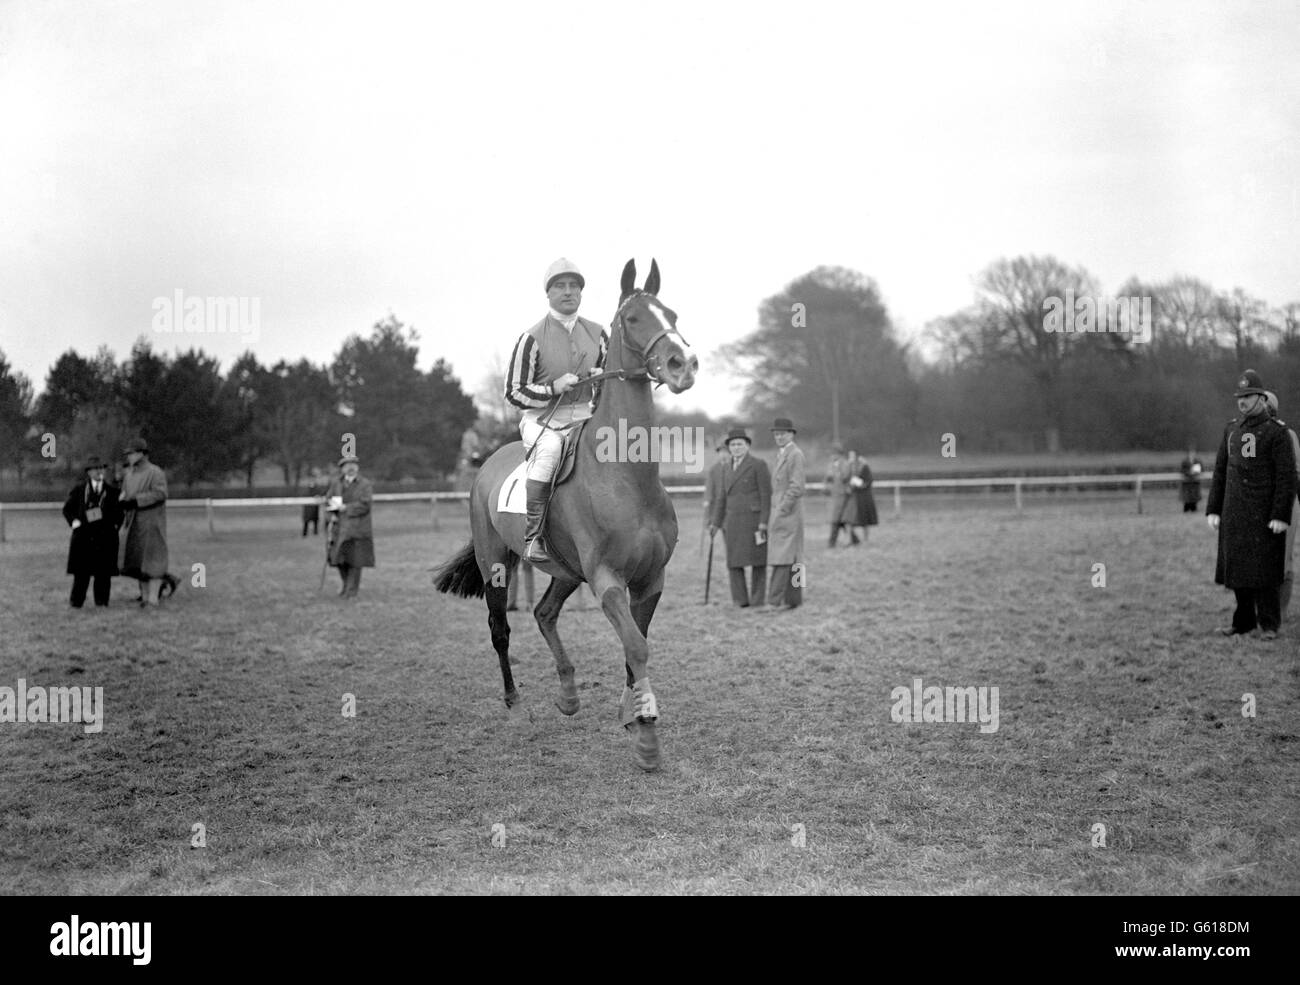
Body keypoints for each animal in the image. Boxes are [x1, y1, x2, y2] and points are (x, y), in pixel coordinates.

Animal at [434, 259, 702, 769]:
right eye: (633, 318)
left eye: (674, 314)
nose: (685, 363)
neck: (627, 478)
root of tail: (487, 465)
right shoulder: (606, 579)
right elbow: (636, 645)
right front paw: (647, 741)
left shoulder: (650, 579)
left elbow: (634, 644)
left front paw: (631, 712)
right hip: (497, 563)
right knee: (501, 630)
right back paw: (517, 708)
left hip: (564, 570)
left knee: (544, 613)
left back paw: (569, 695)